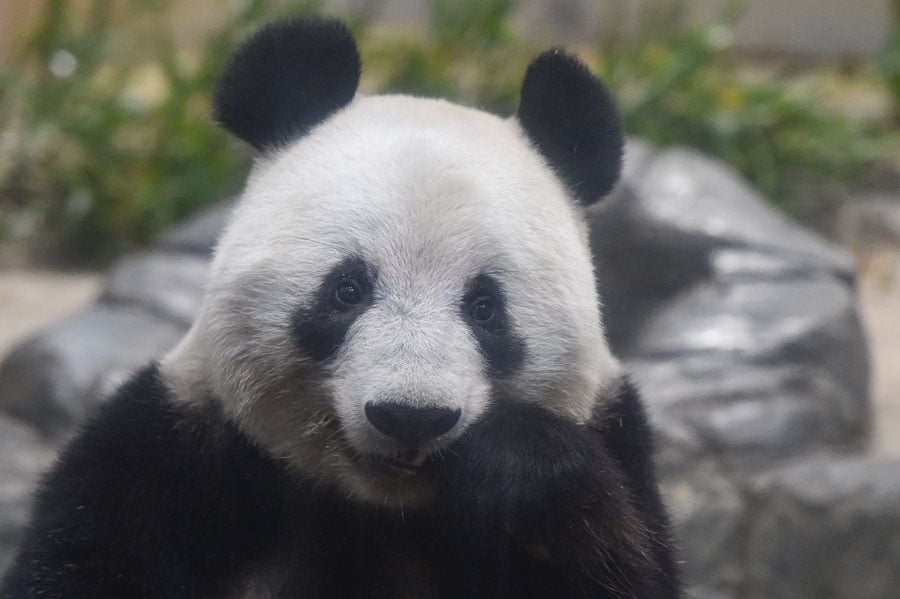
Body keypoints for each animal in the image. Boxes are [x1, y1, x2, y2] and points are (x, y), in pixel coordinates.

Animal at [0, 16, 676, 596]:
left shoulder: (619, 442)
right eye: (347, 290)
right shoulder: (171, 456)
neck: (381, 506)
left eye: (485, 307)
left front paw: (519, 467)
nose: (411, 416)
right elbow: (87, 556)